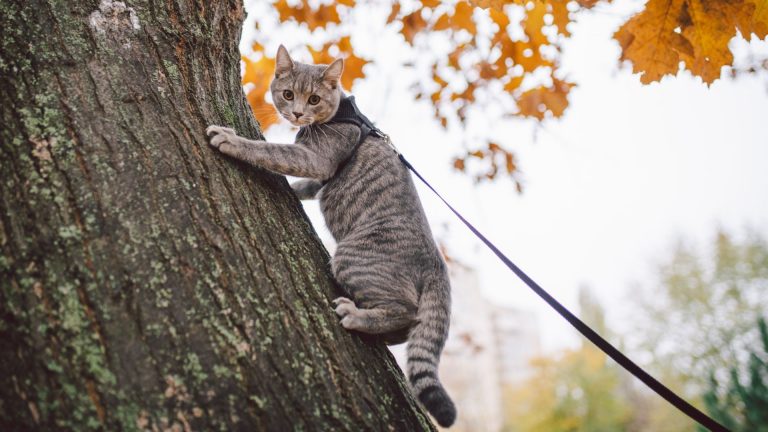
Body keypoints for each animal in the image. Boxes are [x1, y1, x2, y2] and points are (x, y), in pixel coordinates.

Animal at [204, 45, 456, 426]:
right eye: (288, 93)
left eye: (314, 98)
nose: (296, 113)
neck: (339, 115)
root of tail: (437, 263)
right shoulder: (318, 174)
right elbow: (302, 184)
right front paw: (293, 190)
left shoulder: (316, 159)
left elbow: (271, 151)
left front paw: (231, 140)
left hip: (353, 258)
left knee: (406, 312)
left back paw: (357, 316)